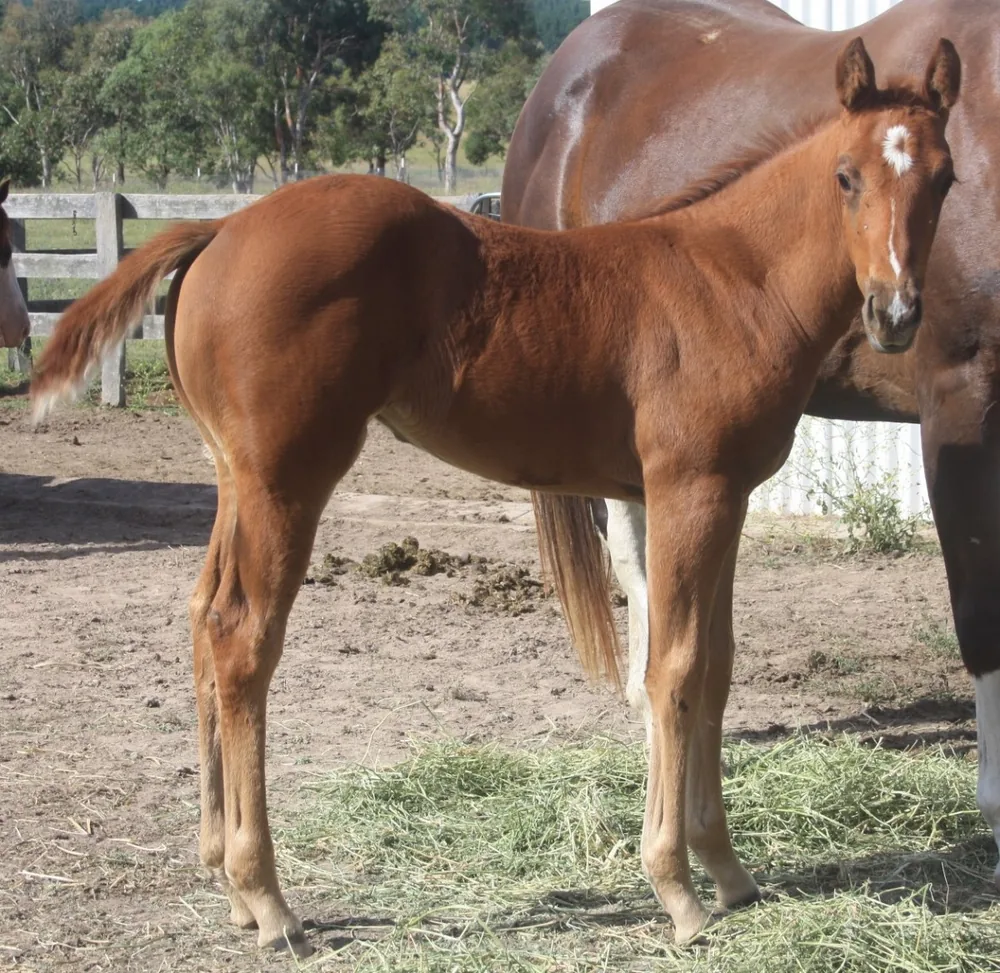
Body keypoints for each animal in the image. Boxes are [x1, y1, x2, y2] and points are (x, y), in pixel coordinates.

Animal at [28, 39, 958, 955]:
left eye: (944, 178)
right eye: (846, 175)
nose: (896, 313)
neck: (734, 282)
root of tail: (222, 225)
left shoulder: (720, 497)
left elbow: (718, 667)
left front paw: (728, 870)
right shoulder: (688, 490)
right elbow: (674, 668)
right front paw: (678, 888)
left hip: (234, 478)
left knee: (201, 617)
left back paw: (222, 877)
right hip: (286, 480)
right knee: (242, 640)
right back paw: (268, 898)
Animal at [501, 0, 1000, 883]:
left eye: (948, 181)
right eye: (846, 178)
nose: (892, 312)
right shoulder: (959, 401)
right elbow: (980, 606)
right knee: (639, 572)